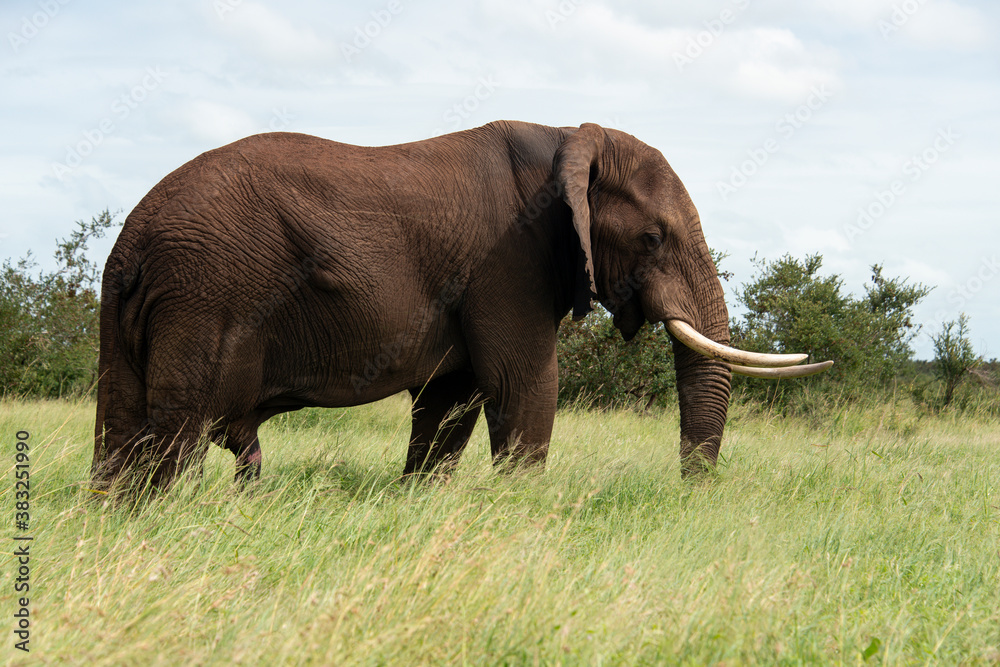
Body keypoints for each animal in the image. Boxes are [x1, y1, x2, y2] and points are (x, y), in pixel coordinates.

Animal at [91, 120, 830, 493]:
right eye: (653, 238)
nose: (689, 495)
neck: (569, 138)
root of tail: (132, 243)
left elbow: (451, 399)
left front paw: (420, 502)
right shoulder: (509, 259)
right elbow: (523, 381)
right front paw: (521, 511)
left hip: (142, 310)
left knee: (125, 427)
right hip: (205, 294)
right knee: (178, 433)